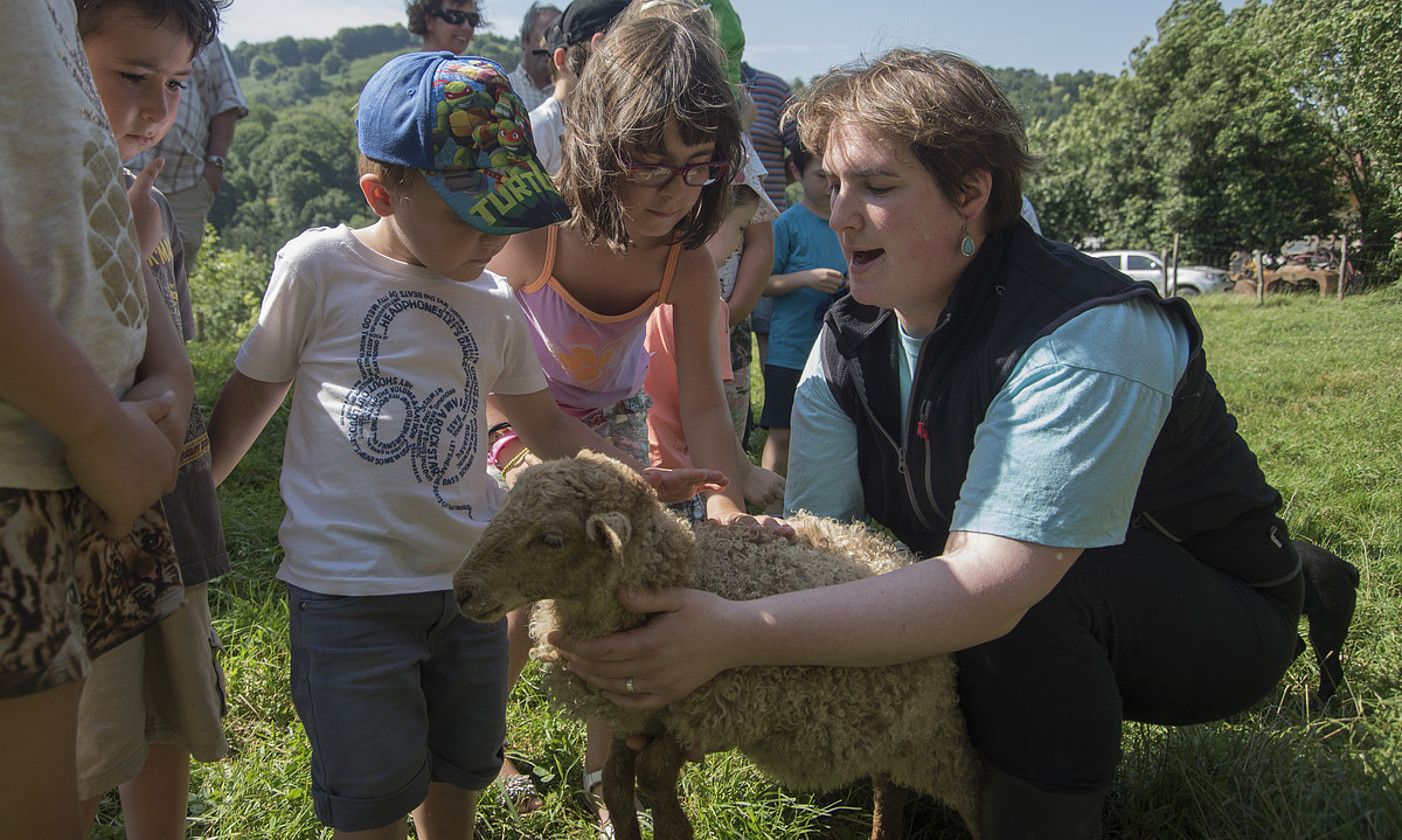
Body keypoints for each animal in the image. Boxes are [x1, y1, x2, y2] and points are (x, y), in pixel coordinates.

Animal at [454, 454, 981, 840]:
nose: (462, 590)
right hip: (888, 722)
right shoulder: (636, 715)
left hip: (934, 735)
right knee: (888, 784)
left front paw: (674, 830)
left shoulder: (710, 711)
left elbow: (653, 775)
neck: (694, 573)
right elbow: (620, 784)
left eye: (552, 538)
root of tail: (888, 549)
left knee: (964, 794)